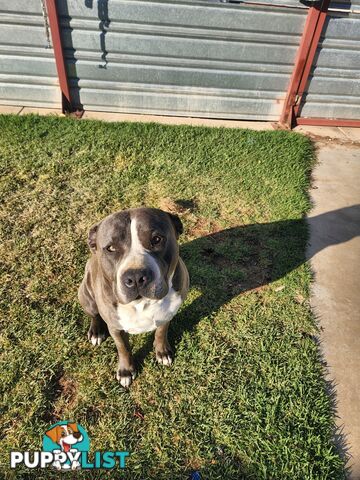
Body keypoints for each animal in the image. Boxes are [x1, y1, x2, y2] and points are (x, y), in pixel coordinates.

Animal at [77, 208, 190, 388]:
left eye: (157, 239)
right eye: (111, 248)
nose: (136, 277)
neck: (142, 303)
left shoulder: (167, 314)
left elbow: (161, 332)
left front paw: (162, 352)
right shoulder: (115, 327)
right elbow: (123, 348)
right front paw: (126, 371)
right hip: (85, 294)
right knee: (94, 314)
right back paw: (96, 332)